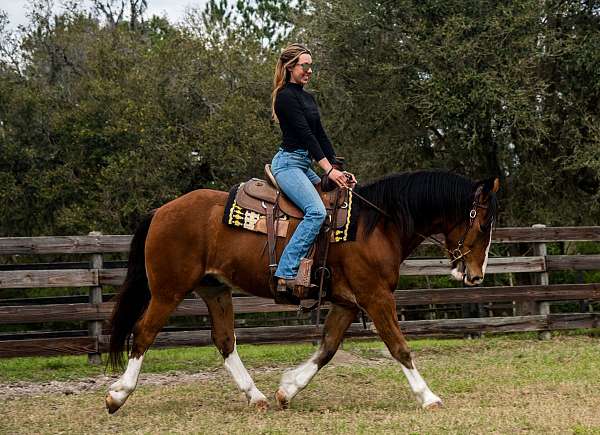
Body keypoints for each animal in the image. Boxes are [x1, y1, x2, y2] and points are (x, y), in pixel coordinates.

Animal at [105, 171, 500, 416]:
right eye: (482, 224)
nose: (476, 275)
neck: (374, 226)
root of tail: (161, 211)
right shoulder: (375, 297)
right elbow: (399, 347)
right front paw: (429, 397)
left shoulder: (347, 303)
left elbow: (327, 349)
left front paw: (288, 388)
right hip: (168, 290)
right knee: (144, 333)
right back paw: (117, 395)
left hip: (214, 289)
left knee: (225, 341)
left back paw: (257, 396)